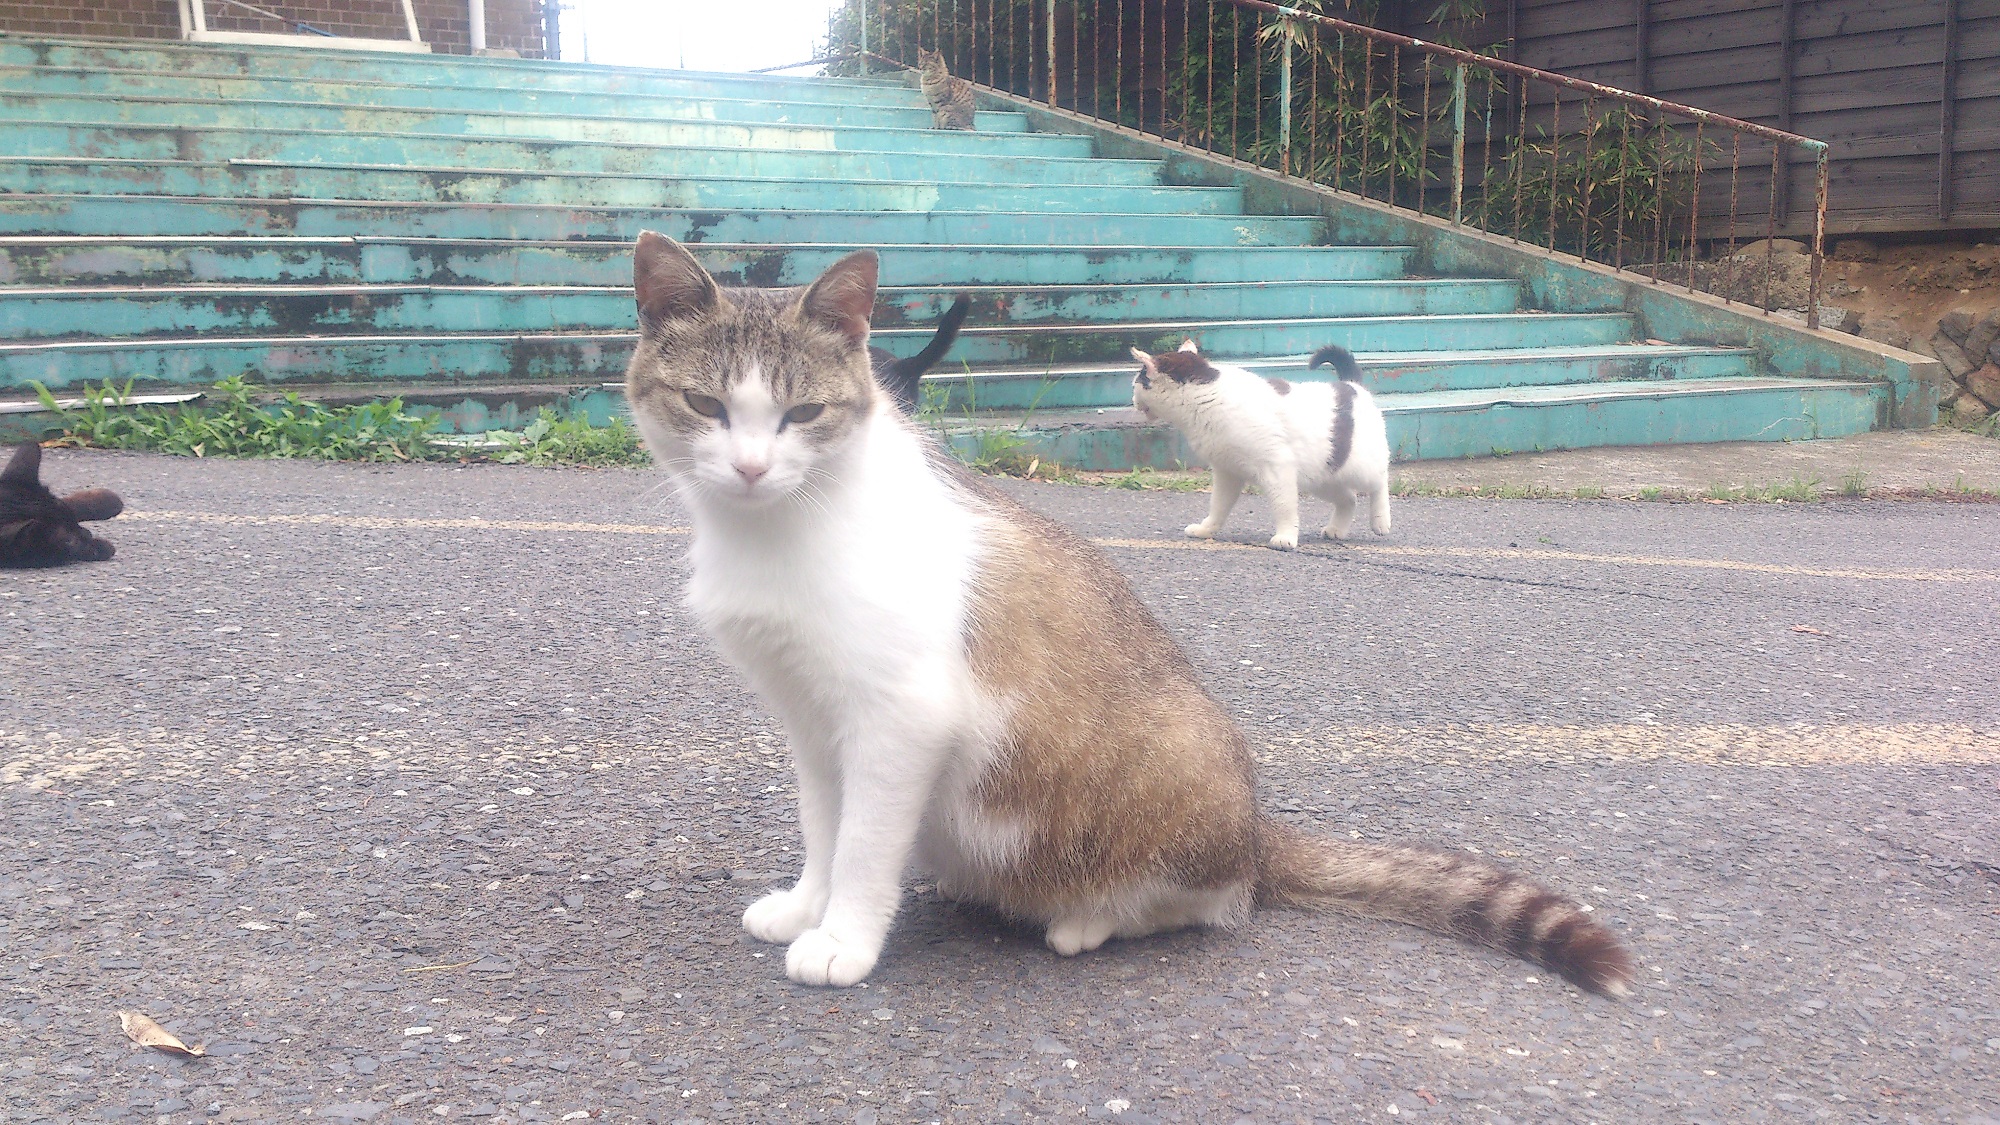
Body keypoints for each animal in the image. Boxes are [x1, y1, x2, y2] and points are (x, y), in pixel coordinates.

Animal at [1128, 336, 1392, 548]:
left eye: (1136, 384)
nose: (1132, 399)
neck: (1208, 396)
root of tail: (1352, 386)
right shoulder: (1227, 472)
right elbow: (1218, 506)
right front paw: (1206, 529)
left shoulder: (1277, 468)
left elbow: (1284, 507)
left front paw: (1285, 537)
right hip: (1323, 478)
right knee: (1349, 499)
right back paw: (1337, 529)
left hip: (1361, 469)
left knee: (1380, 482)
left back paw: (1381, 521)